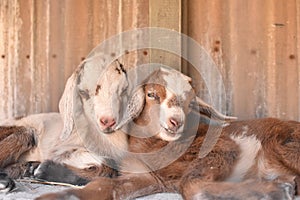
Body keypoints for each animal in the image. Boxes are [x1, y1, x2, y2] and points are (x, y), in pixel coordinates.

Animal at [37, 68, 300, 199]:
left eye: (190, 101)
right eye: (152, 94)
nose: (176, 122)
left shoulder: (220, 148)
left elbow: (192, 185)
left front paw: (278, 190)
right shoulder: (152, 177)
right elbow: (107, 183)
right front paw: (52, 182)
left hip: (286, 145)